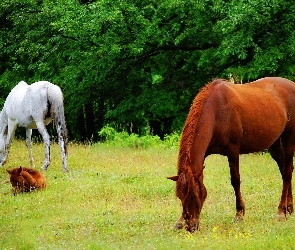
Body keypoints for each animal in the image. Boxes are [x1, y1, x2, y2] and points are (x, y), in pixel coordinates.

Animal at [168, 76, 295, 232]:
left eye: (193, 196)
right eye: (180, 196)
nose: (191, 226)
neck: (216, 111)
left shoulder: (233, 149)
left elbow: (235, 180)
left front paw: (239, 214)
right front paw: (179, 221)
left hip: (289, 138)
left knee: (287, 172)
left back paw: (281, 211)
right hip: (275, 144)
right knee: (285, 171)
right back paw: (289, 208)